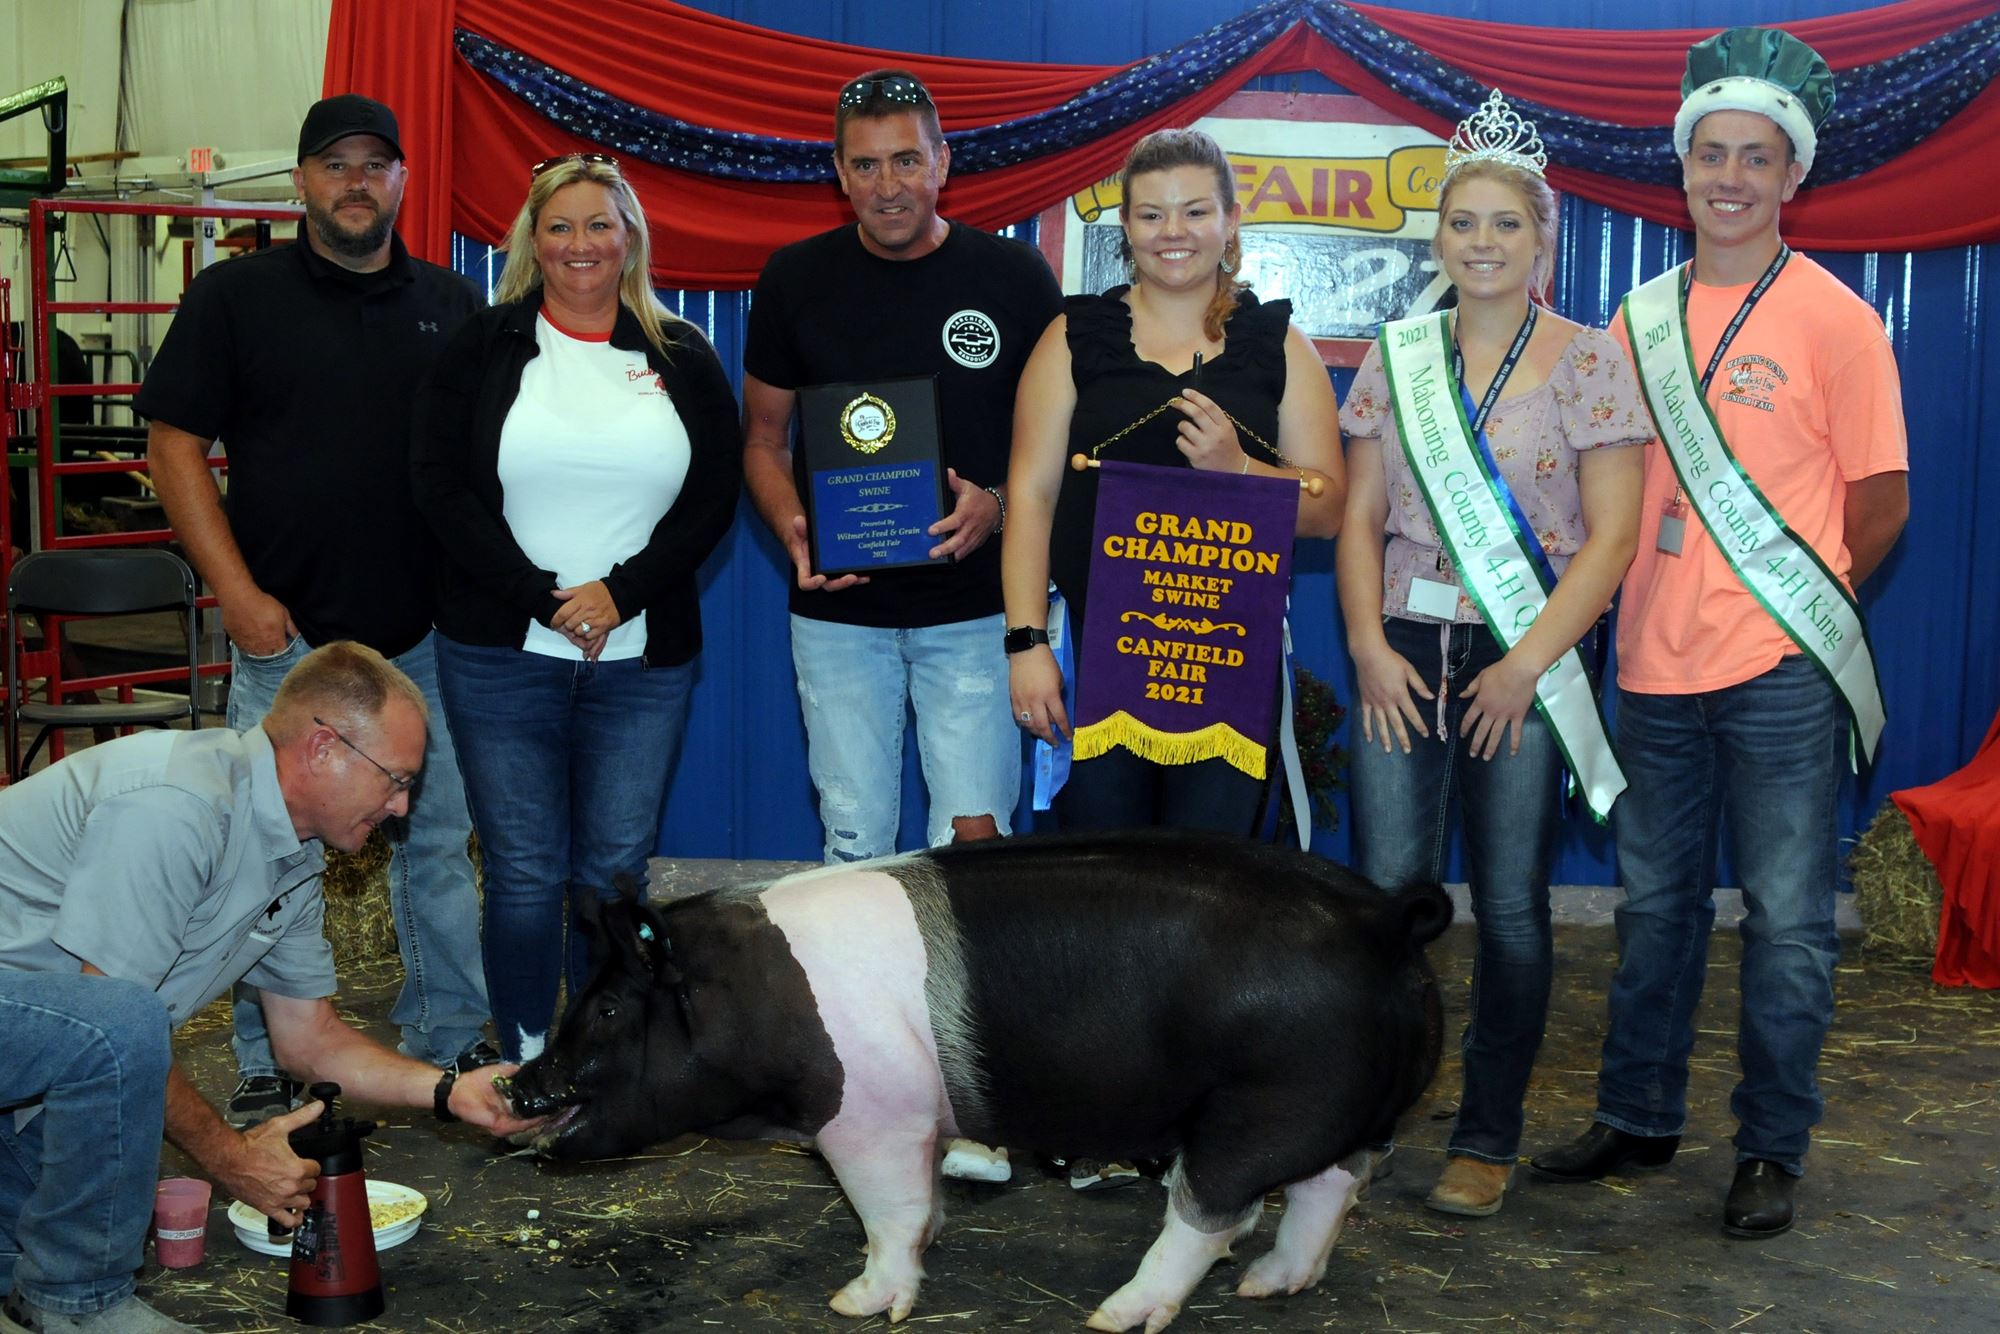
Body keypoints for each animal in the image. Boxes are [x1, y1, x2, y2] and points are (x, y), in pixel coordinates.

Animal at [498, 828, 1440, 1328]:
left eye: (609, 1009)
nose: (513, 1085)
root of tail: (1386, 920)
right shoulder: (912, 1124)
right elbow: (921, 1205)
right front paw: (931, 1241)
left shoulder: (869, 1120)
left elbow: (887, 1214)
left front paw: (856, 1303)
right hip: (1343, 1112)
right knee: (1332, 1184)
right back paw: (1271, 1285)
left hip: (1263, 1107)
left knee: (1215, 1214)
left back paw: (1116, 1314)